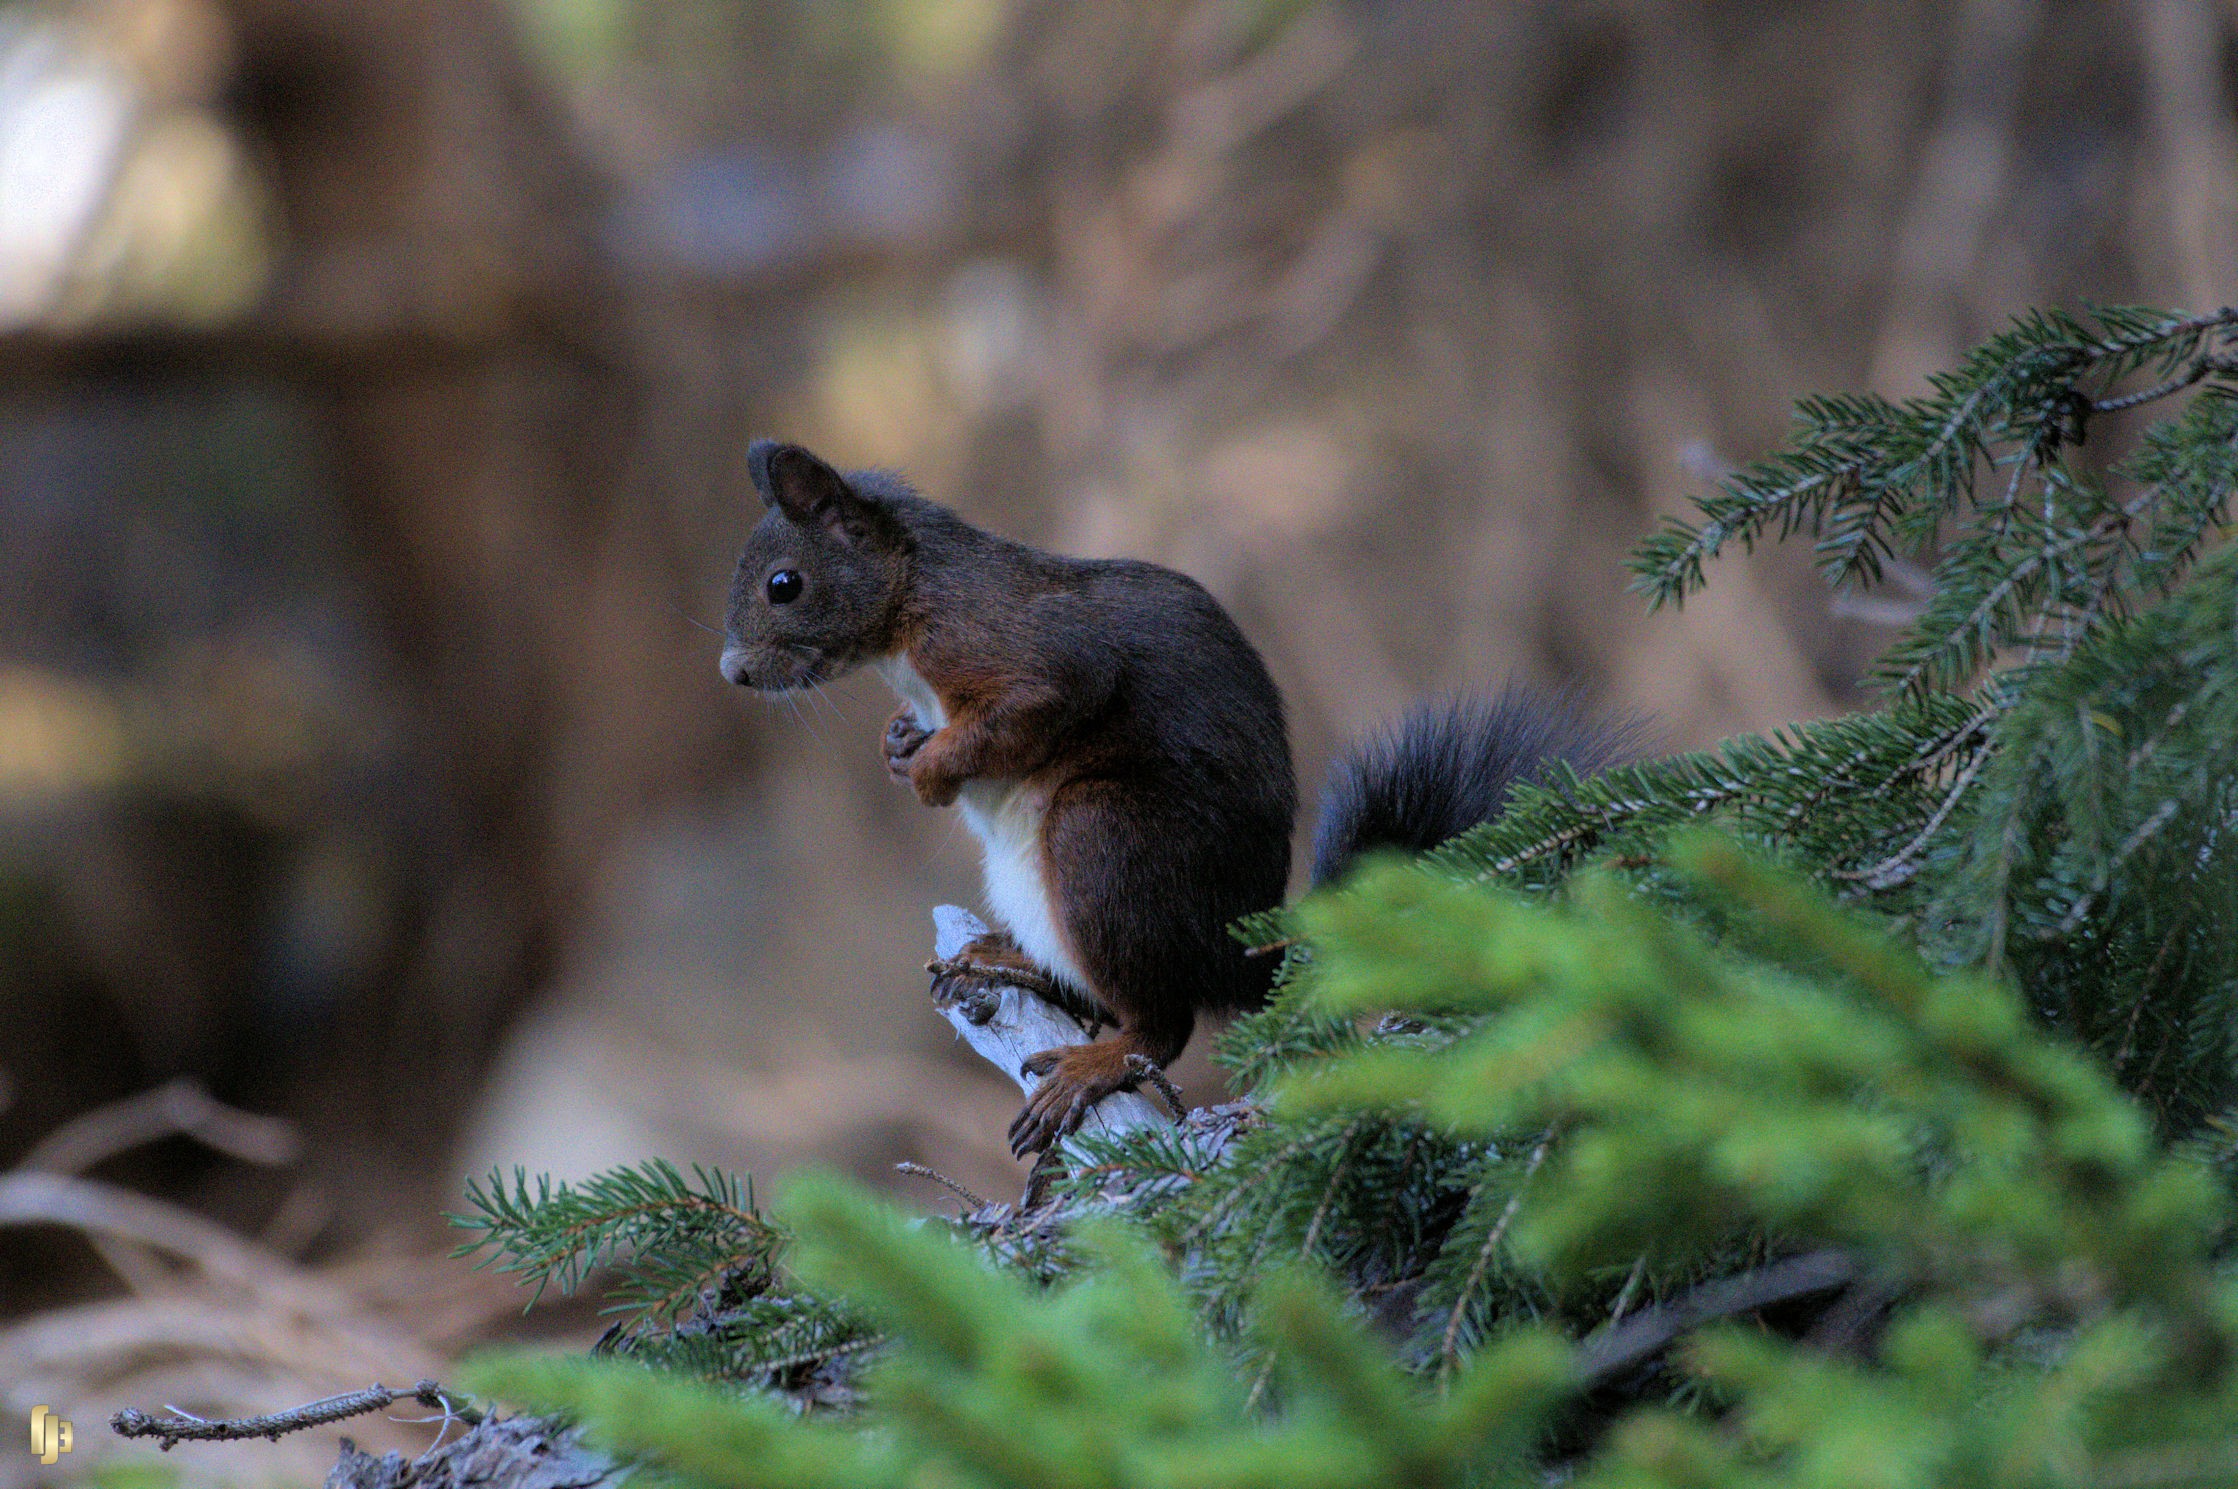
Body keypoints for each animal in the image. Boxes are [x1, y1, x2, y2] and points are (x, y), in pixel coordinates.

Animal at [725, 436, 1638, 1155]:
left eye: (784, 584)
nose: (732, 672)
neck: (911, 599)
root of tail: (1239, 947)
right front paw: (898, 745)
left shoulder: (1016, 647)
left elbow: (1035, 704)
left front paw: (930, 772)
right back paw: (1002, 958)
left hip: (1103, 840)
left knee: (1162, 1023)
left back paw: (1089, 1065)